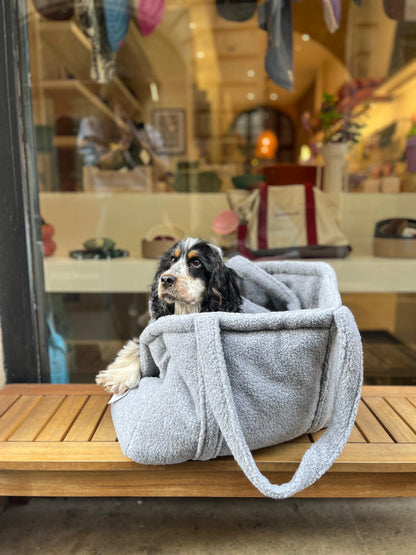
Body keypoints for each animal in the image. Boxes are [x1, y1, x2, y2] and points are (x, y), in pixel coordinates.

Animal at [96, 238, 242, 394]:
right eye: (172, 259)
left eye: (196, 262)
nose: (165, 279)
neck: (185, 309)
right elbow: (136, 349)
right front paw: (118, 377)